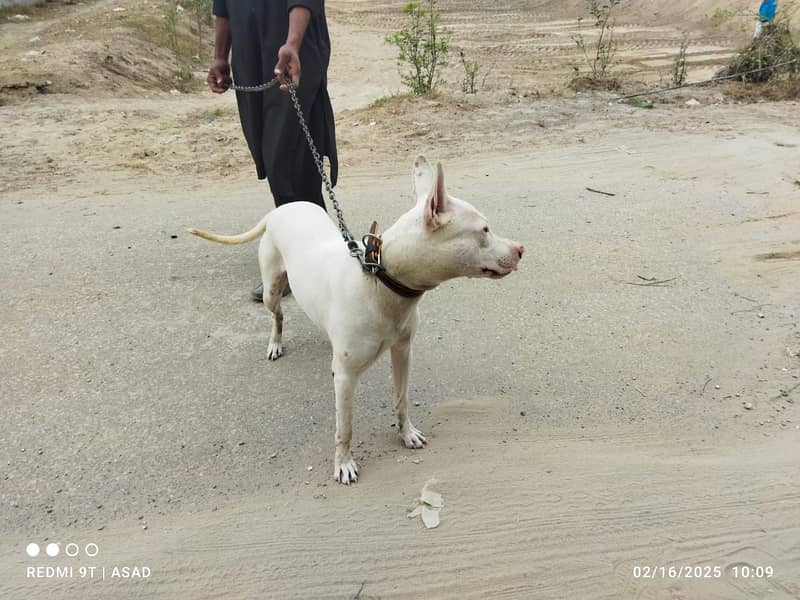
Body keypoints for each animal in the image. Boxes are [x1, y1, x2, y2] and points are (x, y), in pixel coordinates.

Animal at [189, 156, 524, 482]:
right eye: (484, 230)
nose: (521, 249)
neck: (379, 282)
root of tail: (282, 209)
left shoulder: (402, 352)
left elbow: (401, 399)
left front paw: (407, 433)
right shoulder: (346, 378)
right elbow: (345, 427)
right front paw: (344, 464)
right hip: (272, 288)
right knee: (278, 316)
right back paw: (275, 343)